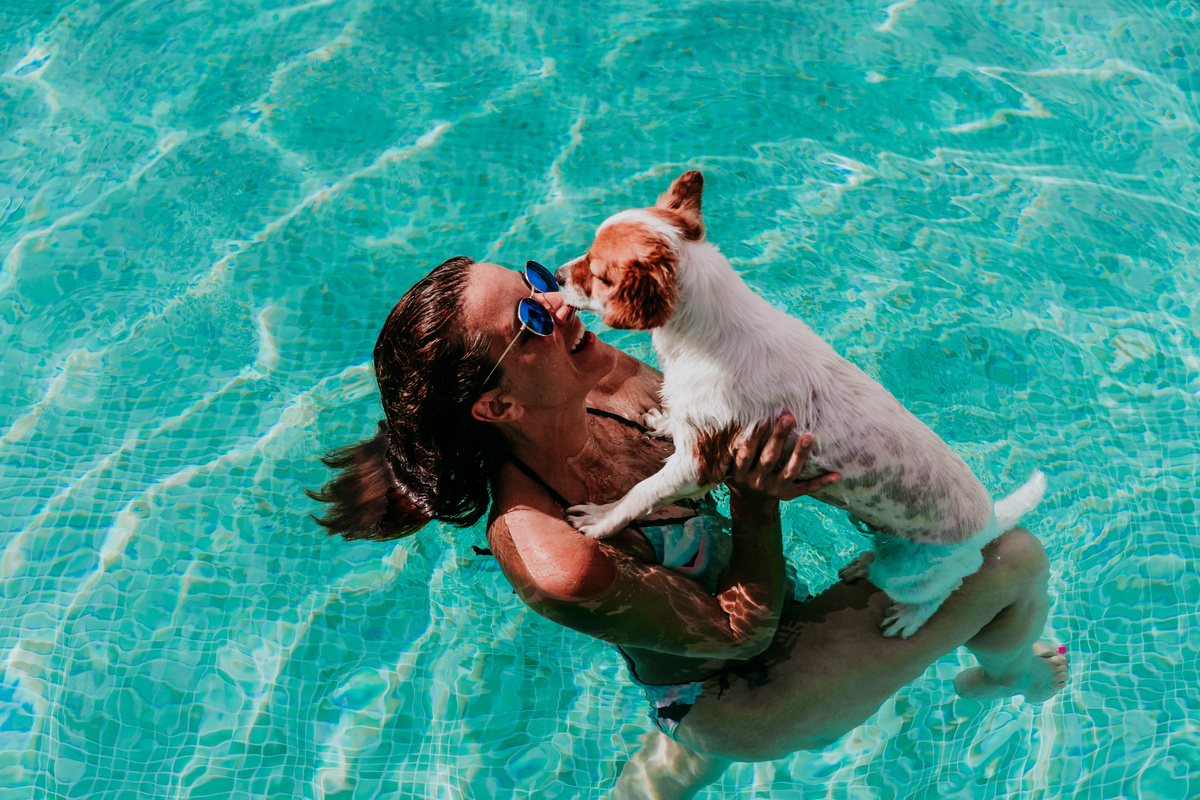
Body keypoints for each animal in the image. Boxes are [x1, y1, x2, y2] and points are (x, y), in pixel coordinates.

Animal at [556, 170, 1046, 638]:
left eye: (596, 271)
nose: (556, 275)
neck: (703, 336)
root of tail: (990, 523)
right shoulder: (699, 431)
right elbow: (676, 423)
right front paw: (662, 421)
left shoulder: (700, 465)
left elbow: (642, 493)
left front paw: (601, 519)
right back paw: (863, 563)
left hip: (913, 573)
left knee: (939, 593)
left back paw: (909, 617)